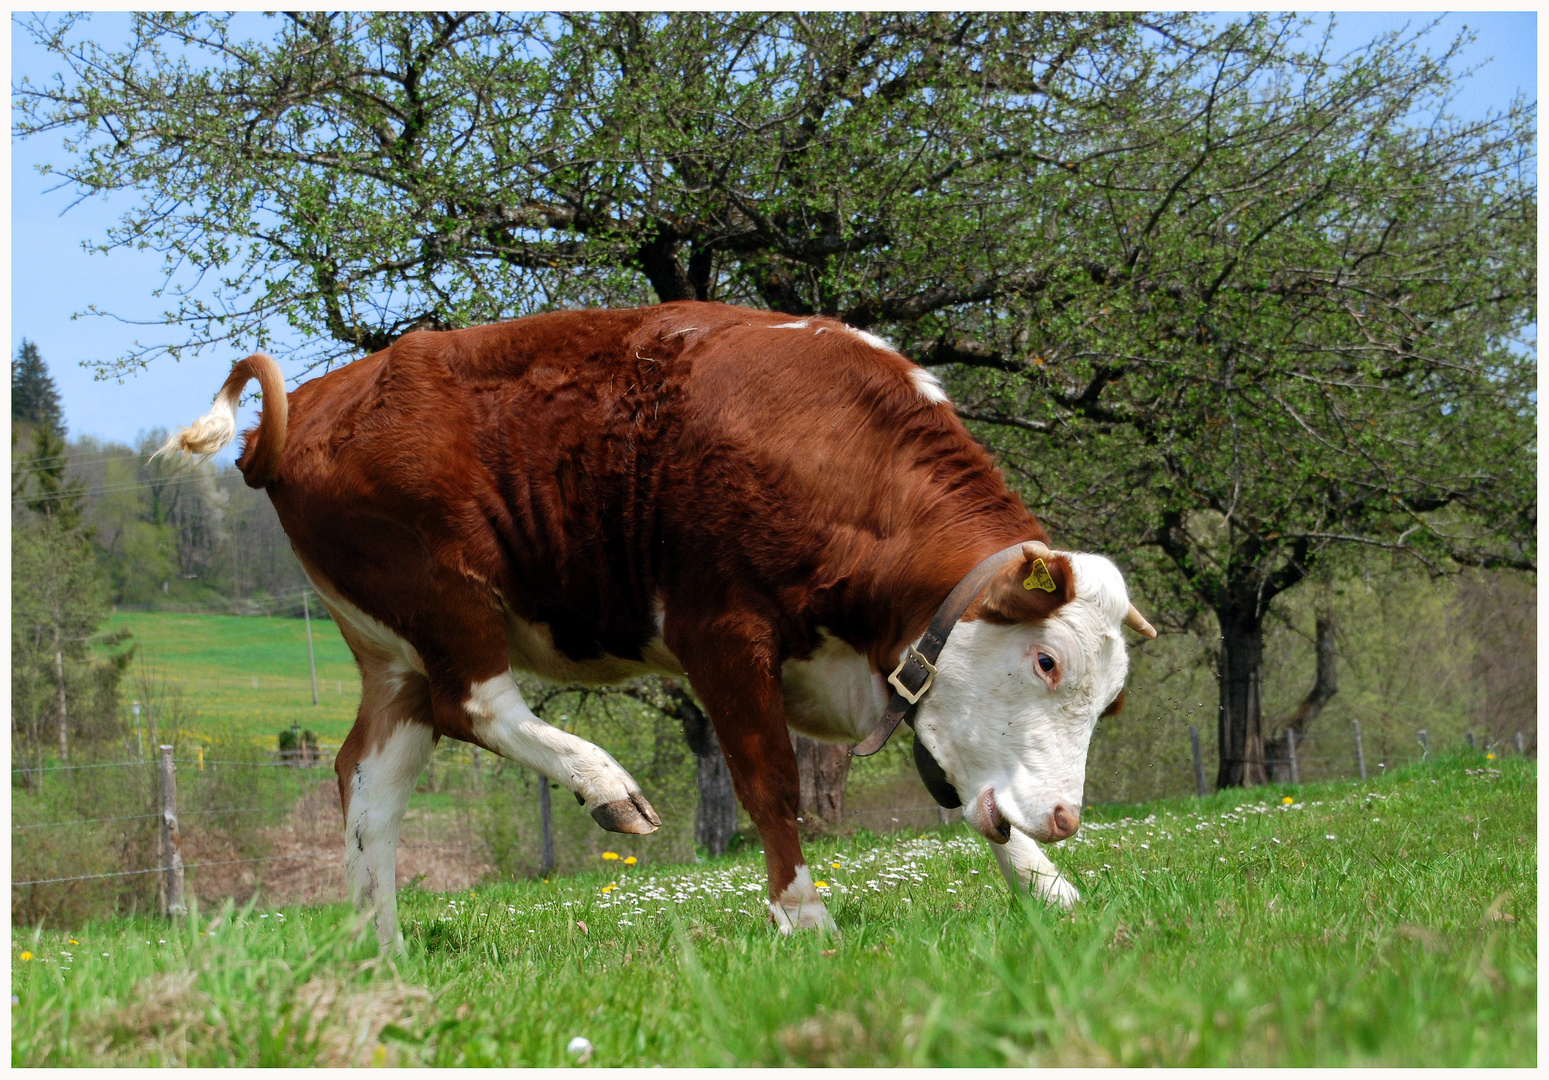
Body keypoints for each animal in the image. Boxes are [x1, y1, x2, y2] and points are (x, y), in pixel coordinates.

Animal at [166, 299, 1152, 948]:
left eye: (1110, 704)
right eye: (1048, 663)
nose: (1065, 816)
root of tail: (313, 406)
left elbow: (967, 796)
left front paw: (1049, 891)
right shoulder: (720, 632)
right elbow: (770, 783)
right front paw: (803, 915)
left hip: (391, 648)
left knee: (368, 780)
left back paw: (384, 952)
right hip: (442, 595)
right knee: (475, 705)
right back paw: (604, 784)